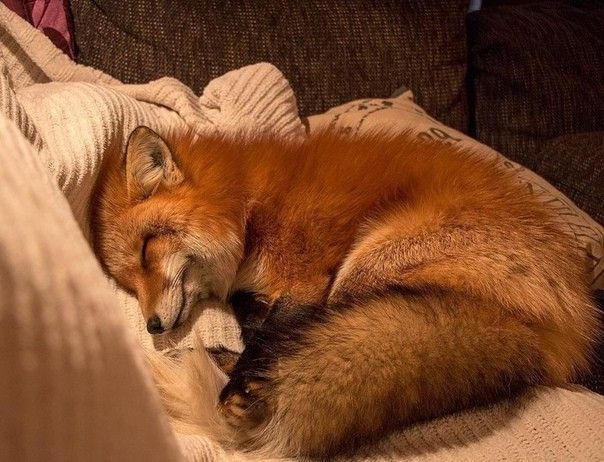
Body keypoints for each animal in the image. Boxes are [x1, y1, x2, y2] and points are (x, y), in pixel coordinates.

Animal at [89, 124, 600, 456]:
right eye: (129, 282)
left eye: (146, 250)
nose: (153, 326)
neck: (251, 208)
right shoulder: (260, 287)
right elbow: (258, 321)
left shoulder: (306, 275)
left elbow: (275, 330)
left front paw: (247, 381)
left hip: (369, 260)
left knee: (322, 329)